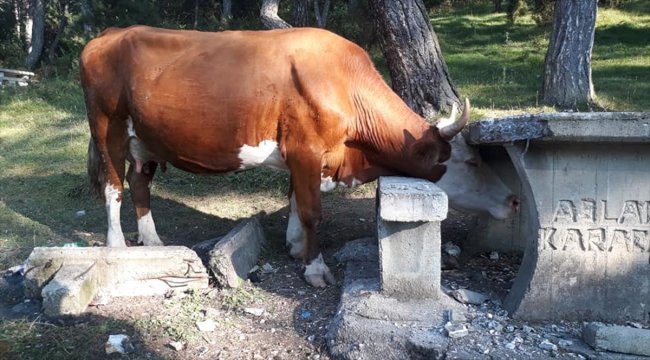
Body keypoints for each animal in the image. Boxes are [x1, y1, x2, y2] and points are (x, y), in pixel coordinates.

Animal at [81, 26, 466, 286]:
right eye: (454, 158)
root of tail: (111, 34)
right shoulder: (306, 150)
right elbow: (312, 211)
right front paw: (315, 268)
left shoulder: (302, 156)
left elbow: (295, 199)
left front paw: (295, 246)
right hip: (107, 129)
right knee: (114, 187)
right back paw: (117, 246)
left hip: (145, 139)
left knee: (138, 182)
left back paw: (153, 241)